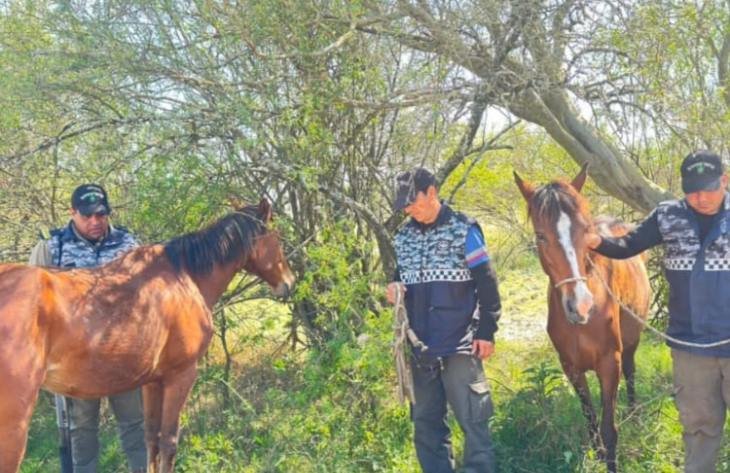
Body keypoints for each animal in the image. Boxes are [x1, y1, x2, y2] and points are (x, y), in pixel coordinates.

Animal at [0, 199, 295, 473]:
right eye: (277, 236)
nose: (289, 282)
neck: (184, 276)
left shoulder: (152, 382)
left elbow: (150, 438)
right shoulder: (181, 376)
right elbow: (169, 442)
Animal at [514, 165, 650, 472]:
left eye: (586, 232)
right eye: (541, 236)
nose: (581, 305)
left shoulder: (609, 363)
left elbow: (609, 428)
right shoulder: (571, 368)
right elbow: (591, 419)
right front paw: (597, 455)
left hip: (632, 339)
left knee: (631, 371)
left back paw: (636, 416)